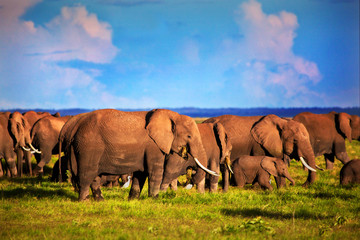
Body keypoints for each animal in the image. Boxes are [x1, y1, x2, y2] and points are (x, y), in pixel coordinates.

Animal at [58, 109, 217, 201]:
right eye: (189, 136)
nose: (191, 172)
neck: (172, 115)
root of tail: (75, 126)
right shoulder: (153, 146)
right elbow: (154, 172)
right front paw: (154, 200)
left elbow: (141, 174)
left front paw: (133, 200)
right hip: (88, 146)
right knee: (87, 174)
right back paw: (84, 201)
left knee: (94, 177)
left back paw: (100, 201)